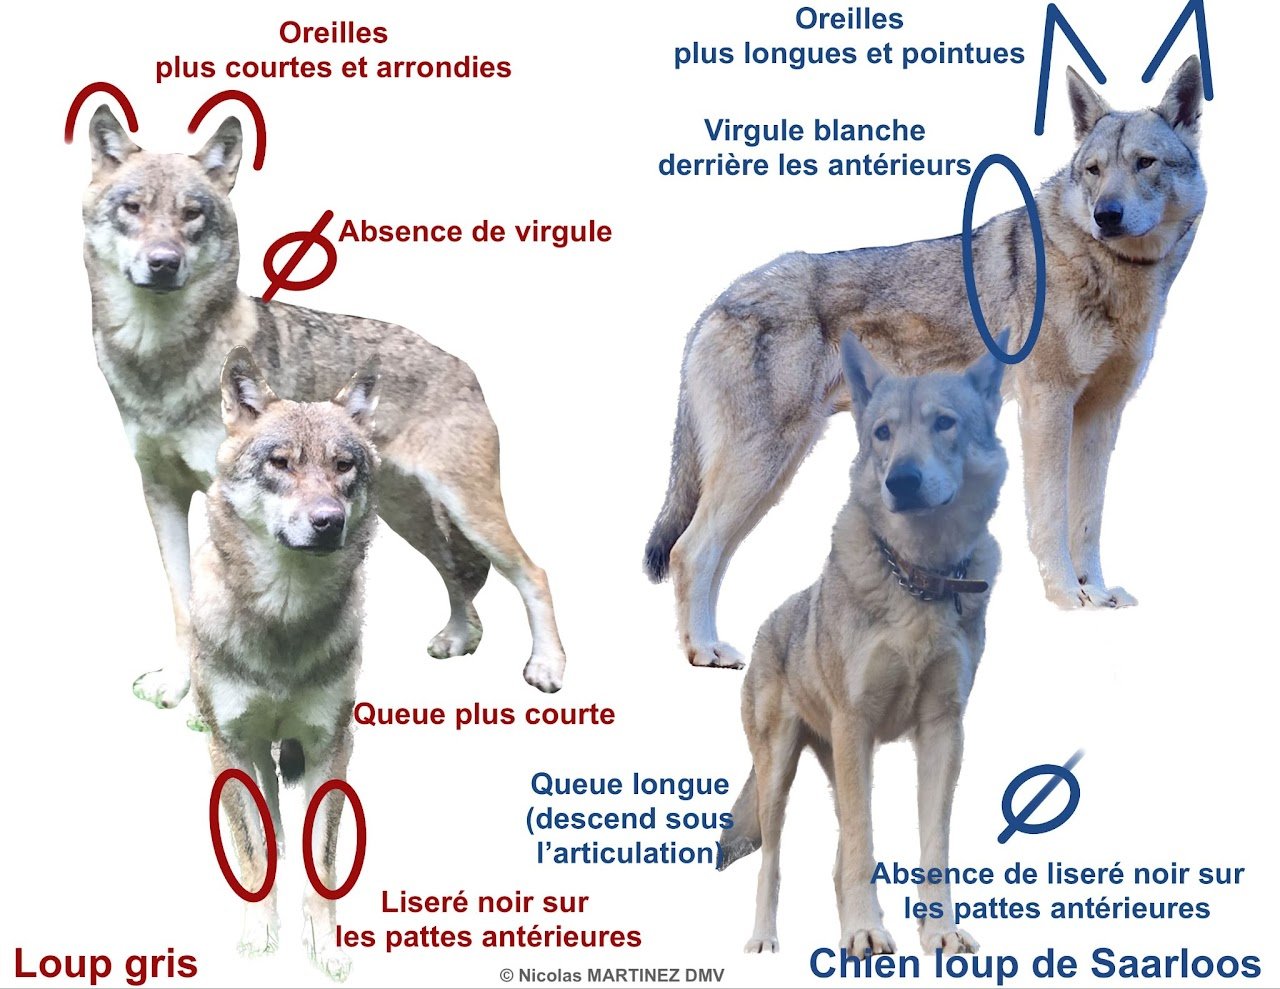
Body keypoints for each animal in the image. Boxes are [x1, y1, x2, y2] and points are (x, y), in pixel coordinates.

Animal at [82, 106, 564, 701]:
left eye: (191, 214)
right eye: (133, 208)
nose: (164, 263)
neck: (162, 361)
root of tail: (464, 365)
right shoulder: (161, 493)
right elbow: (182, 597)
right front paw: (177, 683)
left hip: (468, 512)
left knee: (531, 572)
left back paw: (547, 667)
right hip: (410, 516)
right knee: (457, 572)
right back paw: (457, 638)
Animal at [193, 348, 378, 980]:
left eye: (343, 466)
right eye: (280, 462)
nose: (329, 520)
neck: (283, 622)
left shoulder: (331, 745)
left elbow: (322, 861)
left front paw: (325, 945)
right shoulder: (232, 745)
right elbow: (252, 852)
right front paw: (259, 934)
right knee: (266, 817)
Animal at [645, 57, 1206, 667]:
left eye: (1144, 163)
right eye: (1094, 171)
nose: (1107, 215)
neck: (1114, 274)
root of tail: (715, 305)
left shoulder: (1100, 417)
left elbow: (1089, 519)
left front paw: (1097, 593)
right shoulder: (1046, 408)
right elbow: (1051, 518)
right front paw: (1066, 598)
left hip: (772, 475)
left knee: (710, 555)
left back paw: (708, 644)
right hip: (763, 465)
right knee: (689, 552)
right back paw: (705, 651)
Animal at [717, 333, 1008, 957]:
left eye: (944, 423)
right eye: (883, 432)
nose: (901, 479)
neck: (919, 580)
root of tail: (767, 622)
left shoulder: (943, 728)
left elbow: (932, 846)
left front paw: (938, 934)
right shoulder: (857, 724)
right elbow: (862, 845)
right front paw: (864, 933)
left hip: (840, 760)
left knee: (838, 855)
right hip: (781, 772)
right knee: (776, 860)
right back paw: (763, 941)